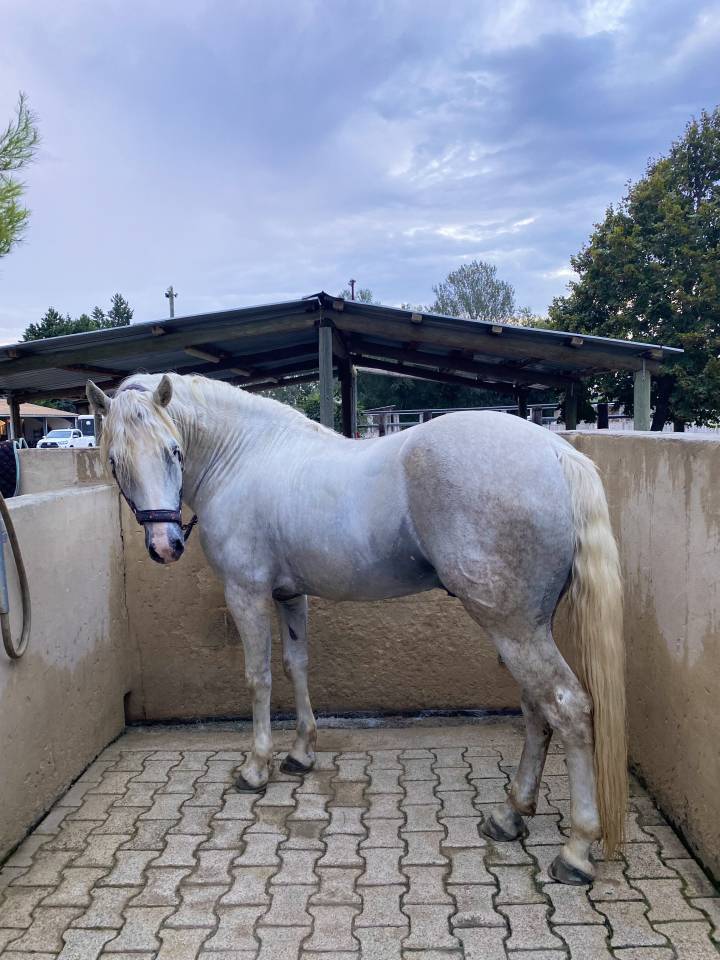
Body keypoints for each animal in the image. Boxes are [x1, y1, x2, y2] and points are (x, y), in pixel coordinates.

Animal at [87, 371, 626, 885]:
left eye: (173, 451)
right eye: (115, 461)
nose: (165, 545)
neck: (243, 458)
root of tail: (554, 450)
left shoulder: (247, 593)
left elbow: (259, 678)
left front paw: (257, 767)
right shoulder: (289, 596)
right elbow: (296, 665)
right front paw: (300, 753)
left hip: (513, 628)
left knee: (567, 708)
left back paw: (575, 851)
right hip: (528, 627)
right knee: (537, 711)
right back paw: (511, 815)